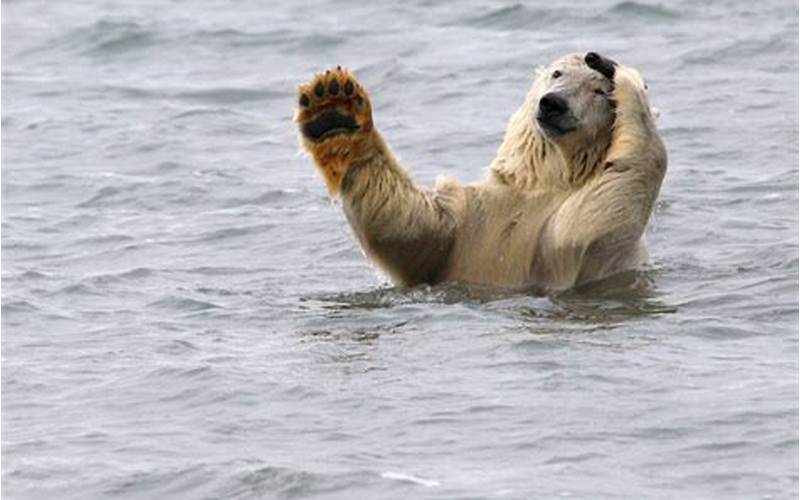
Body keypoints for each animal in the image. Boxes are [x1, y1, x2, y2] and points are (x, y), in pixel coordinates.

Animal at [296, 51, 664, 290]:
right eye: (557, 74)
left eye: (598, 92)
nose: (553, 103)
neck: (540, 182)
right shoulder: (469, 214)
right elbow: (409, 225)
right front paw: (333, 110)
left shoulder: (580, 250)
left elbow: (587, 226)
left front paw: (624, 76)